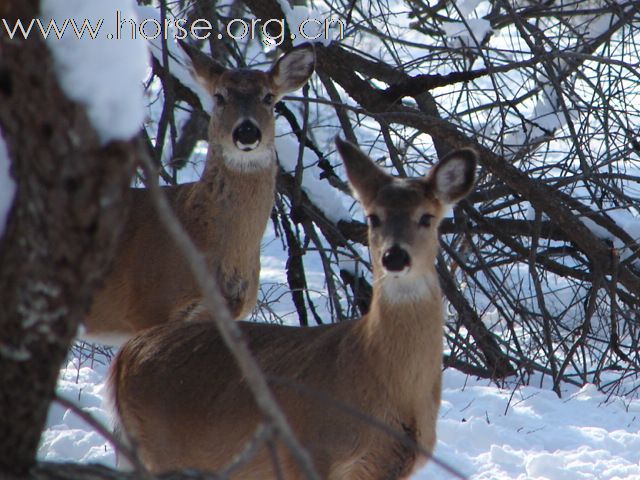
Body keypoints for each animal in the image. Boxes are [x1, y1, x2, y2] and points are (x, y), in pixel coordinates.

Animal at [107, 137, 478, 478]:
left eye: (426, 217)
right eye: (373, 218)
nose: (395, 256)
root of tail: (124, 355)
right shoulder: (309, 449)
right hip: (159, 447)